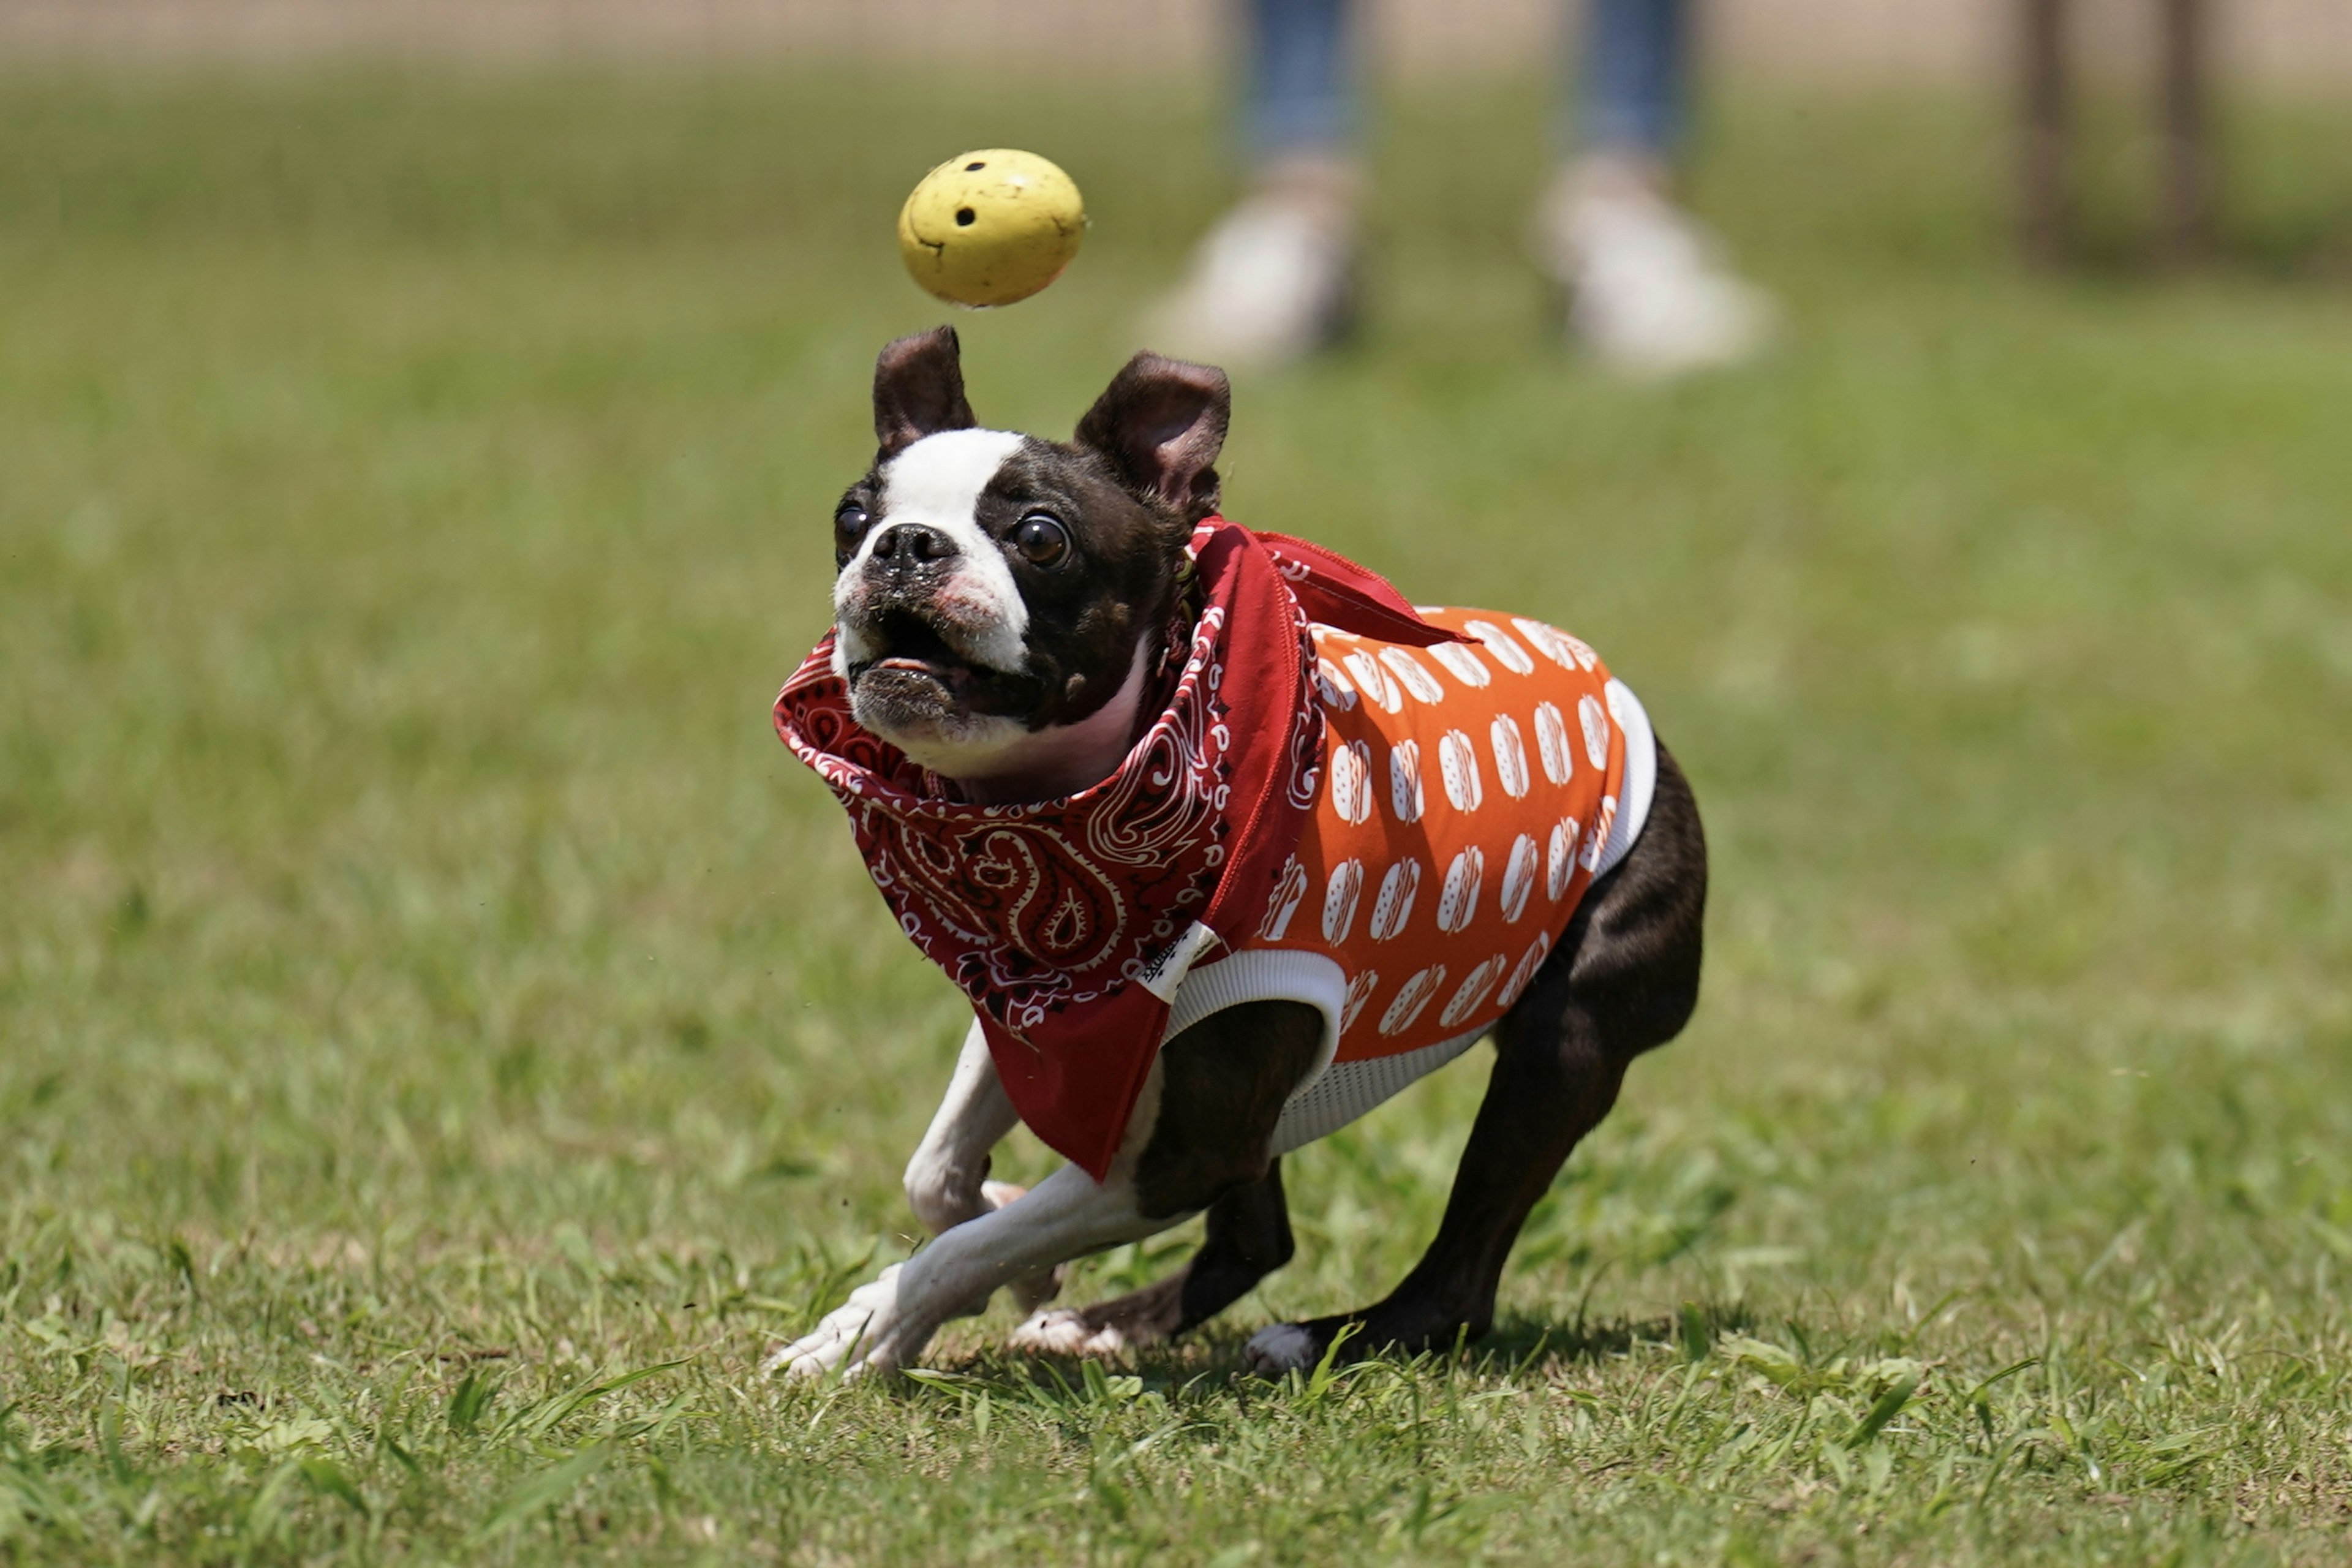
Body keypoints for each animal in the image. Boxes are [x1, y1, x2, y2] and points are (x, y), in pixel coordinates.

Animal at [771, 329, 1712, 1373]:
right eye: (853, 517)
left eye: (1041, 537)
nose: (904, 544)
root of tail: (1615, 687)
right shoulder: (1040, 1020)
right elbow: (936, 1176)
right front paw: (1003, 1250)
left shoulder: (1181, 1154)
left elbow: (966, 1244)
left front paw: (870, 1328)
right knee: (1261, 1236)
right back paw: (1105, 1322)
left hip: (1564, 1037)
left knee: (1461, 1275)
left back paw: (1324, 1337)